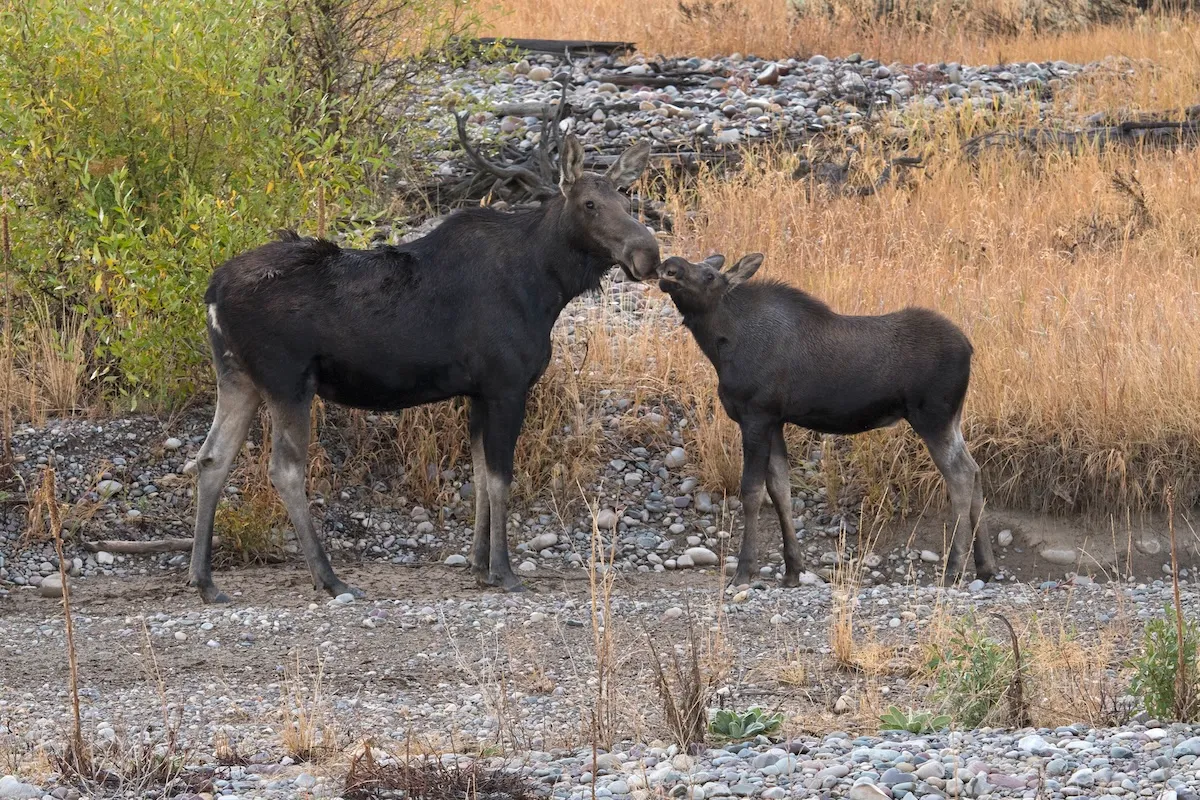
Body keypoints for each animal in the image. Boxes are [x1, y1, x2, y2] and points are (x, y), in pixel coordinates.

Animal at [188, 132, 659, 603]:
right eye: (590, 204)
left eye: (625, 199)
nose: (647, 253)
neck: (548, 285)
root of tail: (211, 293)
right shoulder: (506, 385)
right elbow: (500, 479)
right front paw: (503, 571)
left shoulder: (478, 392)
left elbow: (479, 476)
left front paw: (478, 565)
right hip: (287, 380)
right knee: (284, 469)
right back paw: (329, 577)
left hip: (238, 378)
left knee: (212, 458)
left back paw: (205, 580)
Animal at [656, 252, 997, 588]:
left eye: (709, 275)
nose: (669, 267)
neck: (721, 344)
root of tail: (969, 348)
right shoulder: (775, 421)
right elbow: (780, 490)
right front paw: (792, 571)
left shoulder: (756, 416)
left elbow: (752, 492)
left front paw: (743, 572)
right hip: (952, 419)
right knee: (975, 470)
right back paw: (985, 566)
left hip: (933, 418)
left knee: (961, 475)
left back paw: (955, 568)